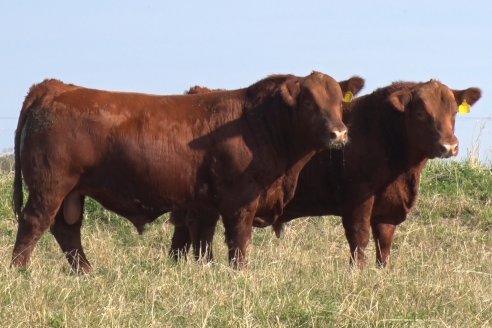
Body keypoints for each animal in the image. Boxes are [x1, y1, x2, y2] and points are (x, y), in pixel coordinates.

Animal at [11, 72, 364, 272]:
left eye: (339, 102)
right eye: (309, 102)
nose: (339, 133)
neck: (260, 122)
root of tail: (53, 88)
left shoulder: (204, 204)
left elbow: (202, 243)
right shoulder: (240, 201)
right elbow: (238, 243)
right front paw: (240, 276)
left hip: (72, 193)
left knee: (67, 231)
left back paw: (86, 273)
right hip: (51, 187)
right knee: (33, 225)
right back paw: (20, 273)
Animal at [169, 80, 480, 270]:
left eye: (454, 112)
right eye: (420, 112)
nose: (449, 146)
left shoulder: (388, 207)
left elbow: (385, 242)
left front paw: (384, 272)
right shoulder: (358, 198)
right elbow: (359, 238)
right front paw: (358, 273)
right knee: (198, 232)